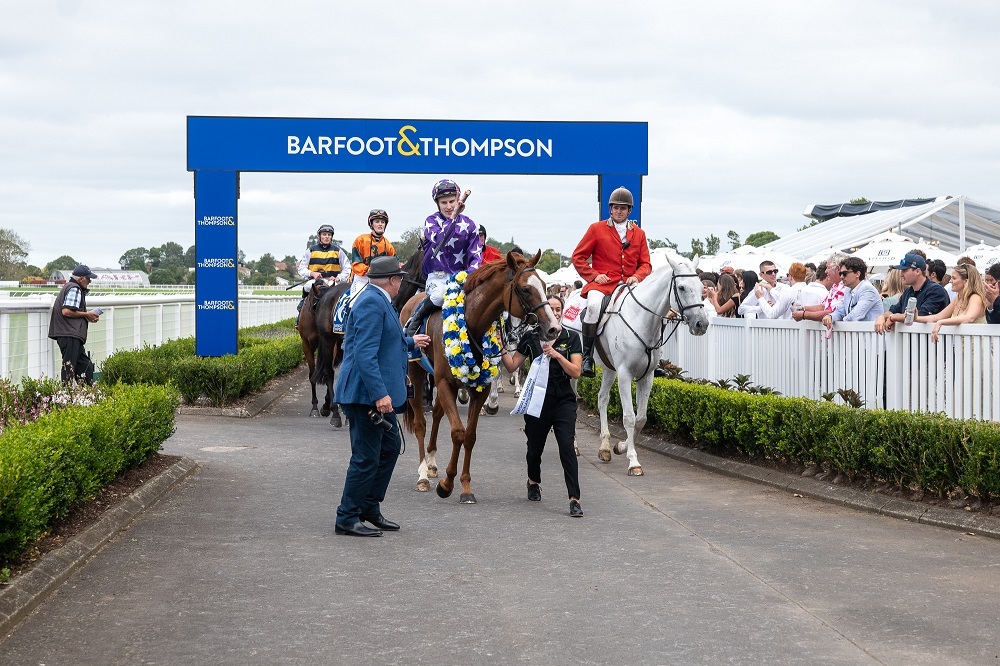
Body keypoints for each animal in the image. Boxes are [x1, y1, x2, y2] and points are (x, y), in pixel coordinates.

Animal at [400, 252, 564, 500]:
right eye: (526, 289)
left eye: (545, 286)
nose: (553, 328)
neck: (471, 323)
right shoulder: (444, 383)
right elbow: (458, 432)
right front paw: (446, 484)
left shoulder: (479, 388)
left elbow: (470, 436)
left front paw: (465, 487)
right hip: (416, 374)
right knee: (420, 422)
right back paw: (422, 475)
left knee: (437, 413)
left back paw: (431, 464)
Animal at [592, 254, 712, 472]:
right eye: (681, 287)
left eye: (701, 287)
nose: (701, 324)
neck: (641, 319)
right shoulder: (625, 374)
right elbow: (629, 417)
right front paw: (633, 461)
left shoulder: (646, 376)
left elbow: (641, 418)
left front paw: (622, 446)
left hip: (608, 369)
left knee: (602, 398)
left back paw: (604, 447)